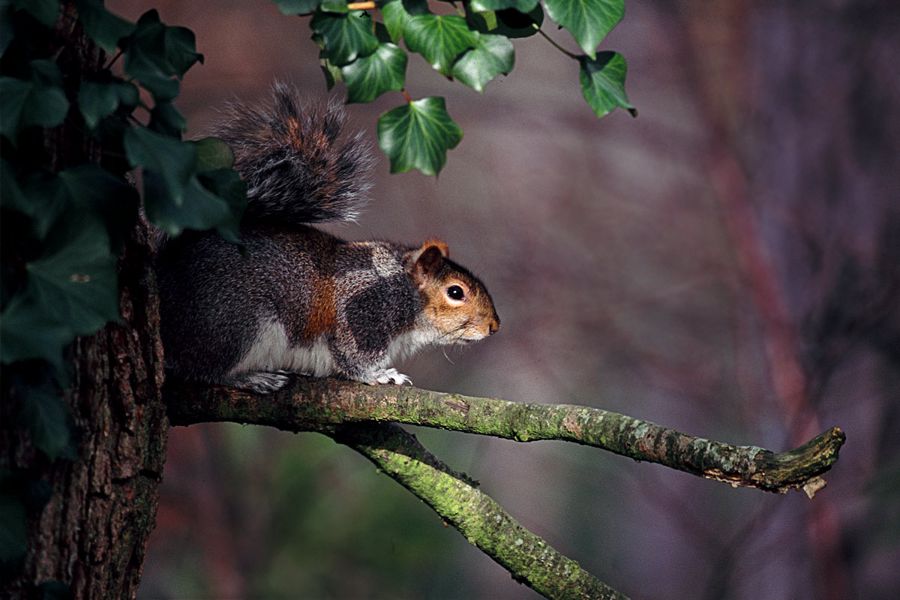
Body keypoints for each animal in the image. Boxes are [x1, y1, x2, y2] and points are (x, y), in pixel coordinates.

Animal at [156, 83, 500, 393]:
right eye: (455, 292)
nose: (494, 326)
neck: (403, 291)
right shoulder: (360, 317)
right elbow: (352, 358)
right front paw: (382, 376)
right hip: (233, 324)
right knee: (203, 369)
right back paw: (251, 378)